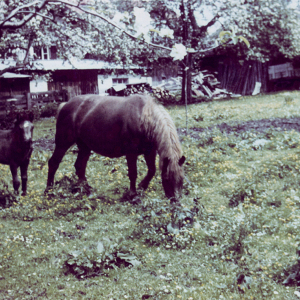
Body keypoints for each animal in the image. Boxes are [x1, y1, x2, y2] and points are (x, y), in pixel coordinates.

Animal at [46, 95, 185, 200]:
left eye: (181, 180)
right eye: (166, 179)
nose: (175, 201)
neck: (144, 118)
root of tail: (65, 104)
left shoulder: (150, 152)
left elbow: (152, 170)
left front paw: (142, 187)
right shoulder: (131, 152)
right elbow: (133, 173)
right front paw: (133, 195)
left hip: (85, 146)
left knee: (80, 166)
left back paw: (85, 189)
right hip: (63, 143)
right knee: (53, 163)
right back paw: (49, 191)